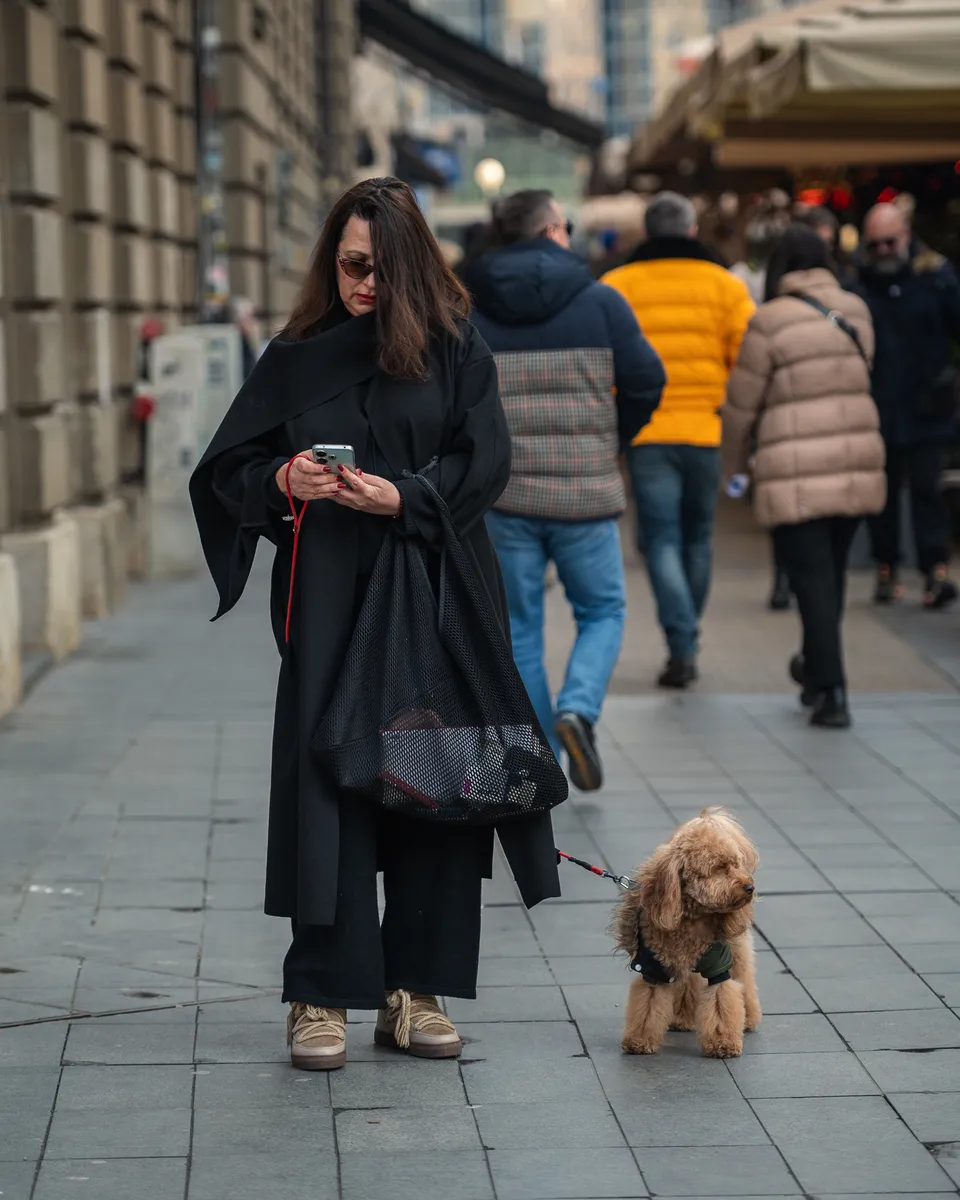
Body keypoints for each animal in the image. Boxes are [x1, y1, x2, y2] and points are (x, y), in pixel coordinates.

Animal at [619, 806, 763, 1060]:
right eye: (719, 868)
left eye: (736, 864)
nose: (749, 887)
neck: (692, 917)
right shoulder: (652, 968)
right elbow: (647, 1005)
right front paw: (640, 1040)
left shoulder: (719, 966)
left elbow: (721, 999)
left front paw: (723, 1042)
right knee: (688, 983)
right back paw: (681, 1017)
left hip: (735, 950)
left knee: (743, 978)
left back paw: (748, 1018)